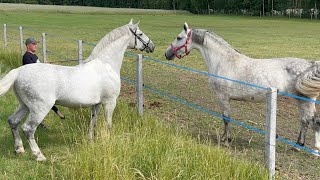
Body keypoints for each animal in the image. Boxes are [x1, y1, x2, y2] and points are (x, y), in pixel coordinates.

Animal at [0, 19, 155, 160]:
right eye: (140, 33)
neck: (106, 64)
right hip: (40, 108)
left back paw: (19, 149)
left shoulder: (96, 104)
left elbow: (93, 121)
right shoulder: (109, 102)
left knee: (13, 121)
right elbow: (108, 123)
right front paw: (107, 141)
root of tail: (18, 72)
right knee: (28, 128)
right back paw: (39, 156)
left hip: (25, 105)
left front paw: (90, 140)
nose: (152, 46)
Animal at [165, 22, 320, 155]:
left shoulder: (223, 97)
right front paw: (225, 138)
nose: (167, 54)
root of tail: (310, 64)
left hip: (305, 100)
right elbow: (226, 118)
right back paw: (302, 146)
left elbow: (226, 118)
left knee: (309, 121)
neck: (223, 61)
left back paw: (304, 148)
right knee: (307, 121)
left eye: (179, 37)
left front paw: (226, 140)